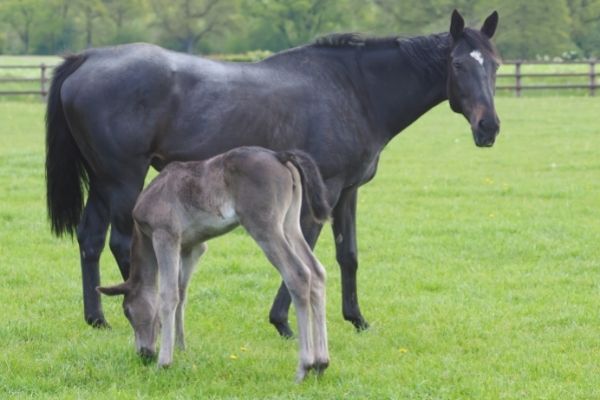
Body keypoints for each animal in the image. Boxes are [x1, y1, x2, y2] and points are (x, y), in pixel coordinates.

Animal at [44, 9, 500, 336]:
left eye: (494, 65)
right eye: (457, 64)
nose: (489, 128)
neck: (355, 90)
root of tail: (88, 58)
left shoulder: (349, 191)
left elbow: (348, 255)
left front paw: (357, 319)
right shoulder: (323, 189)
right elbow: (305, 251)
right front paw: (283, 321)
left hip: (102, 182)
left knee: (90, 239)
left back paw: (98, 318)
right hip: (123, 180)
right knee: (123, 243)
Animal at [99, 147, 332, 382]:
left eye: (127, 311)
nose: (144, 353)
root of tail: (279, 156)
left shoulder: (165, 235)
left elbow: (168, 295)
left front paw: (164, 362)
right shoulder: (192, 247)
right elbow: (182, 294)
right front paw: (181, 348)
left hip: (264, 225)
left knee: (298, 273)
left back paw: (304, 367)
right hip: (290, 223)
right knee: (317, 272)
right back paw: (321, 363)